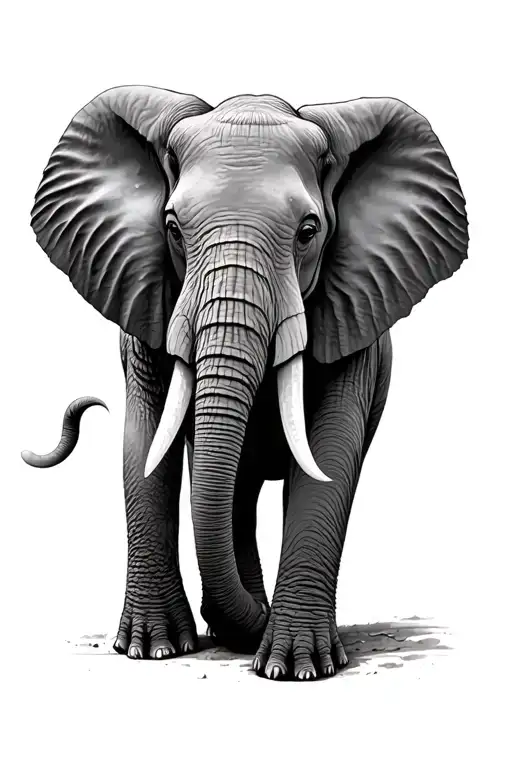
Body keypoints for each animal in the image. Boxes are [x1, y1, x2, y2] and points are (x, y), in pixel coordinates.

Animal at [22, 86, 468, 680]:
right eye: (172, 227)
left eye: (308, 232)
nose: (251, 624)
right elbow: (147, 443)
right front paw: (151, 649)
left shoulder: (355, 314)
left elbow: (330, 453)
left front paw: (296, 669)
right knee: (234, 487)